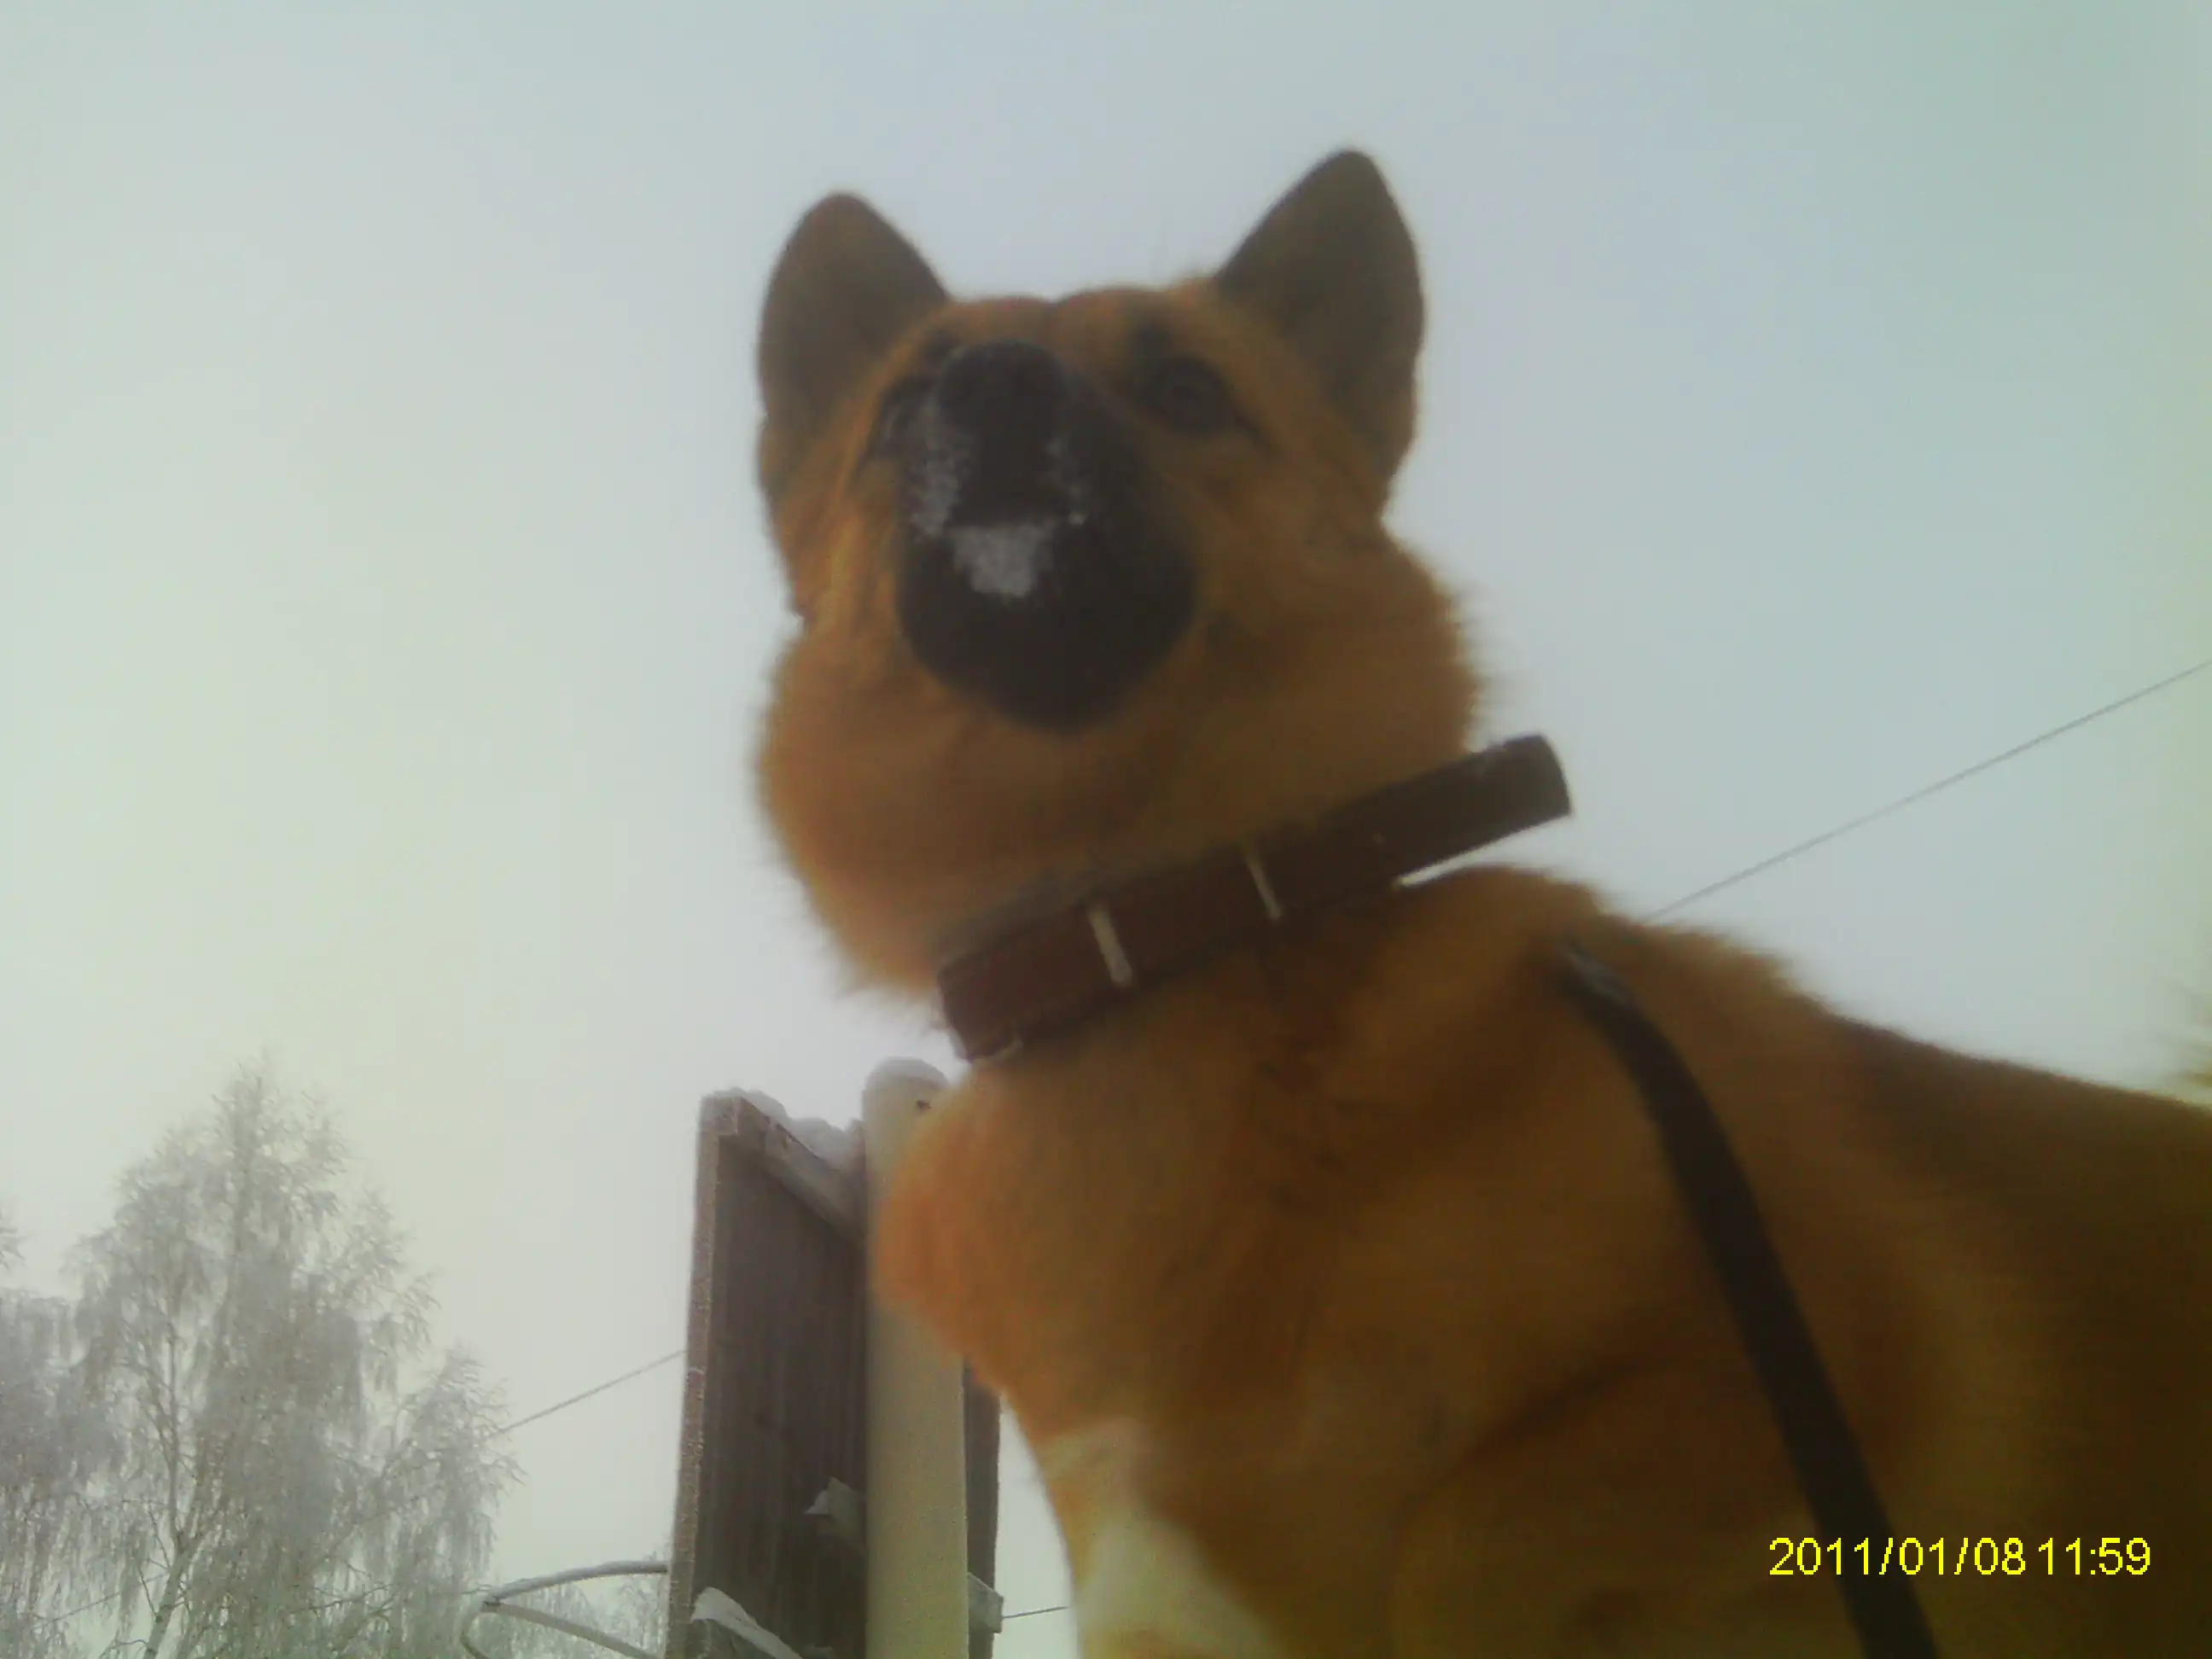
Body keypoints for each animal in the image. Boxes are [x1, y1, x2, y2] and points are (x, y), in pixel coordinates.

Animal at [748, 151, 2212, 1657]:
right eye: (904, 401)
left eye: (1189, 390)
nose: (993, 385)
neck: (1158, 941)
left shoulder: (1792, 1372)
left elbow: (1474, 1533)